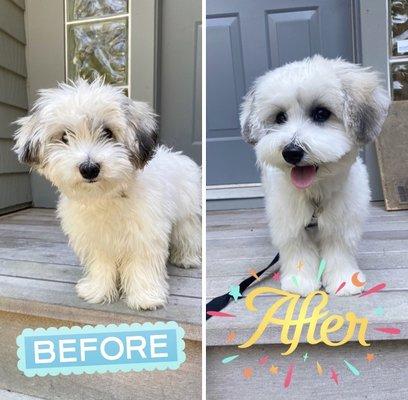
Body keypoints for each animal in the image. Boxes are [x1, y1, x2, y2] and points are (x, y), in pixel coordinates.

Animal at [13, 78, 202, 310]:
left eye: (108, 132)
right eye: (64, 136)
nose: (89, 168)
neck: (106, 196)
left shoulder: (144, 234)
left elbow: (141, 264)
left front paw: (145, 296)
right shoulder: (96, 239)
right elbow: (101, 264)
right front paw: (98, 290)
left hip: (186, 212)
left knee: (187, 234)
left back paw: (187, 258)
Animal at [241, 54, 390, 296]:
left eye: (321, 113)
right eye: (280, 117)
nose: (291, 151)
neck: (315, 193)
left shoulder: (341, 222)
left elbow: (339, 252)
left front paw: (344, 281)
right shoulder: (290, 221)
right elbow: (298, 250)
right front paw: (299, 281)